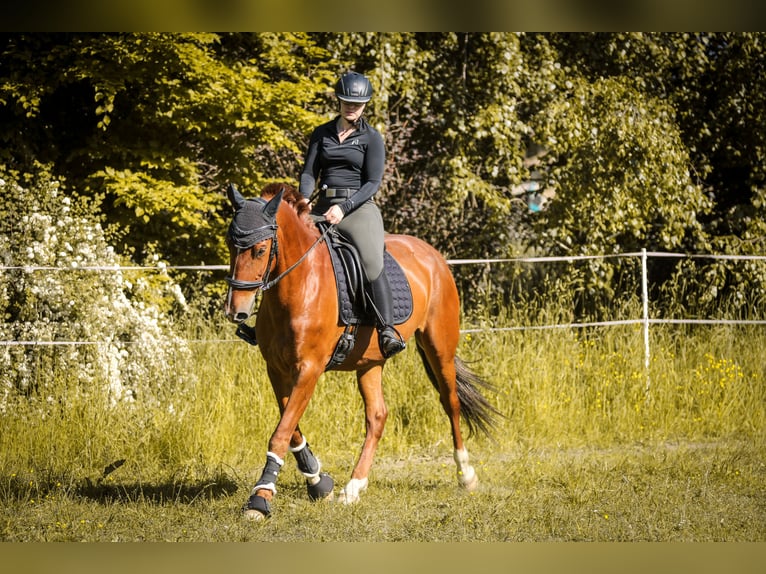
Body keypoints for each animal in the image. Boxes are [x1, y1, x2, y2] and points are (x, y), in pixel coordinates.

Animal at [224, 182, 500, 520]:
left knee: (451, 403)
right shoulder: (276, 369)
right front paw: (319, 481)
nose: (235, 311)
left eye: (261, 250)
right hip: (370, 362)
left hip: (440, 347)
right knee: (377, 416)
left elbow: (281, 433)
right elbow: (291, 430)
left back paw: (466, 475)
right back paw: (354, 487)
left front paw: (260, 498)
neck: (299, 286)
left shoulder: (309, 369)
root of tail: (432, 254)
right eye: (231, 245)